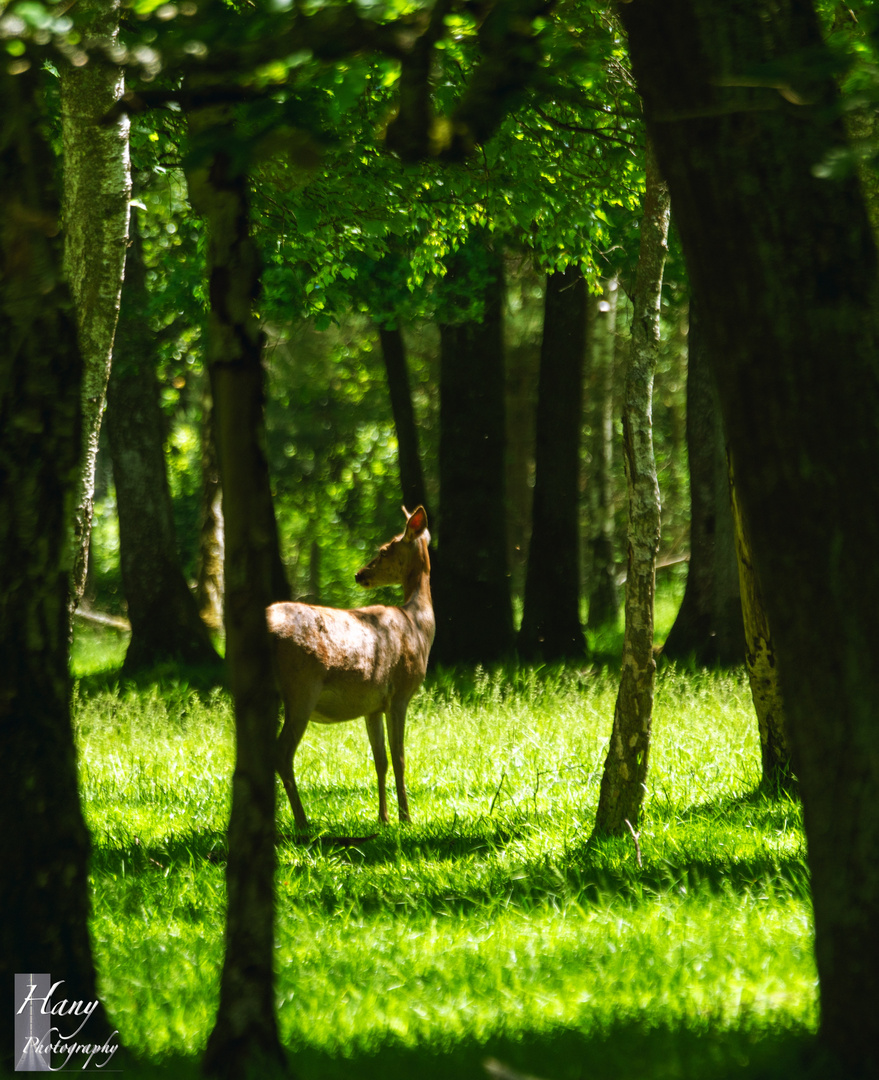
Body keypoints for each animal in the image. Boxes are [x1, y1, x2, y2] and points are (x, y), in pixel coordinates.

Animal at [266, 505, 436, 833]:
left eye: (383, 551)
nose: (359, 574)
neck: (418, 626)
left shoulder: (373, 705)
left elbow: (380, 760)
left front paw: (383, 818)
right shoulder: (400, 694)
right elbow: (399, 757)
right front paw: (406, 818)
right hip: (302, 686)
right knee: (281, 753)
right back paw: (302, 822)